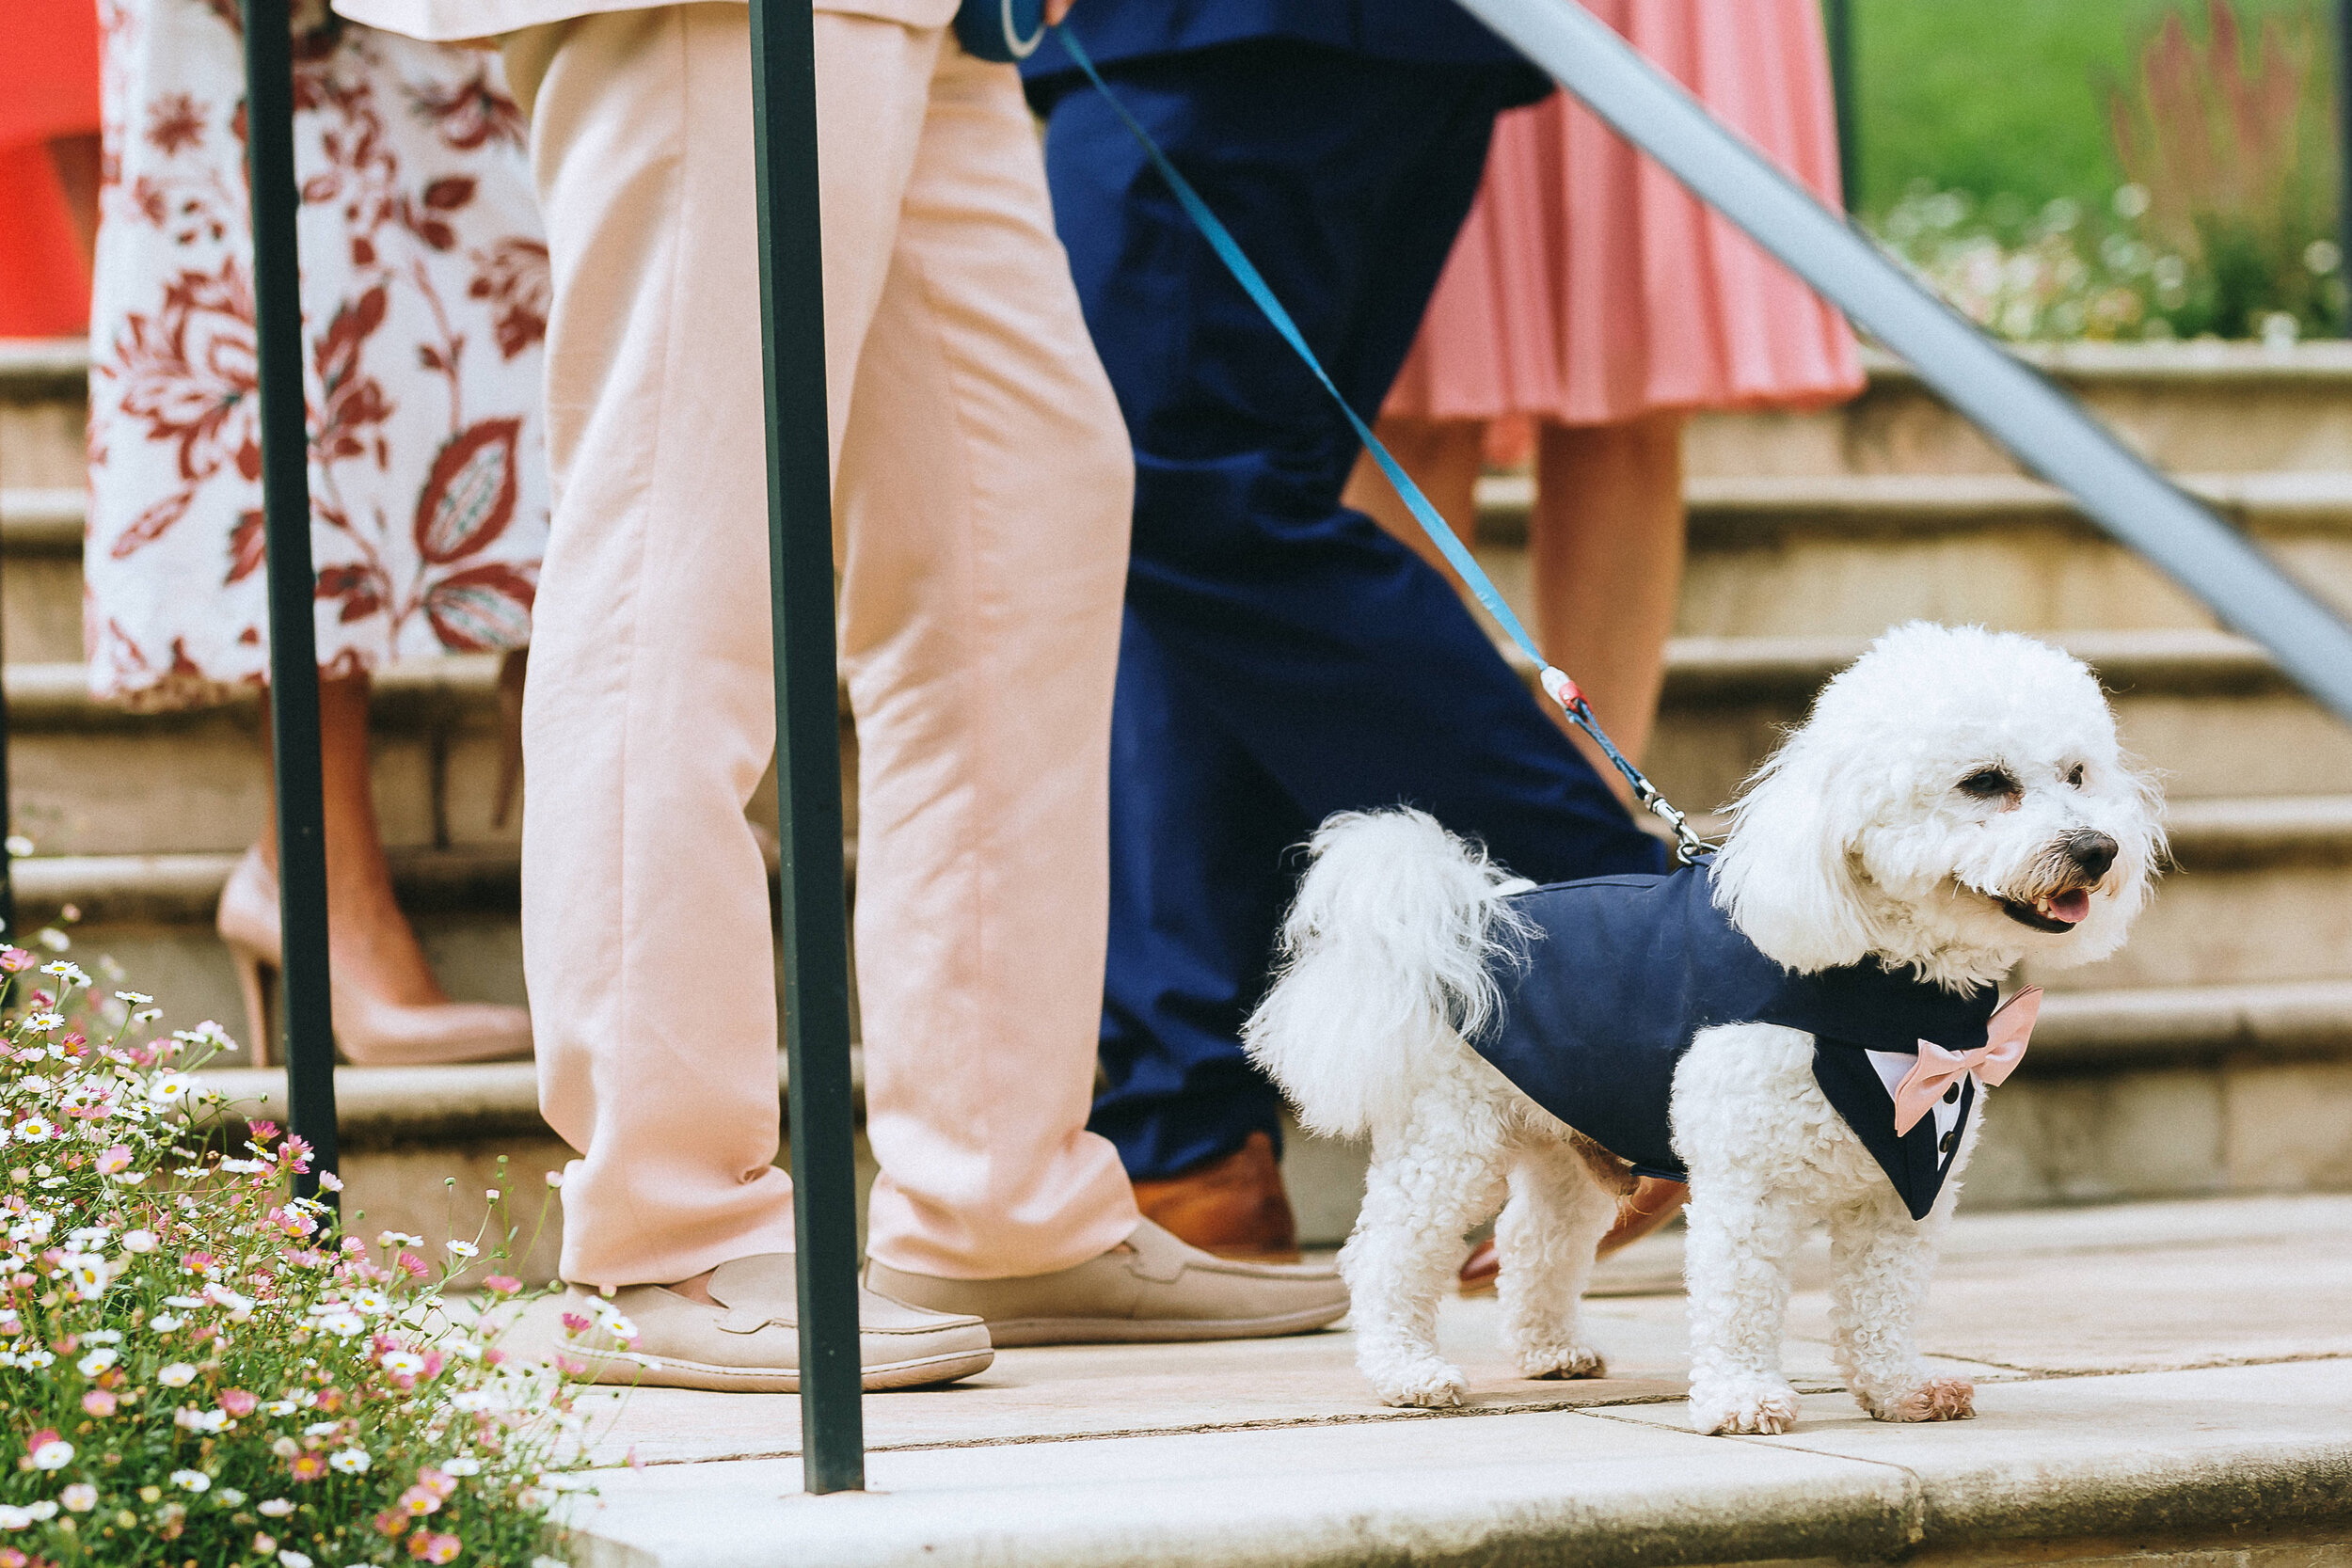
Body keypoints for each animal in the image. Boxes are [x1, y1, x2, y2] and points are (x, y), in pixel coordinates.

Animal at [1261, 620, 2154, 1438]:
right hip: (1449, 1136)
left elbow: (1884, 1297)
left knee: (1534, 1237)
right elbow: (1739, 1291)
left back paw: (1550, 1348)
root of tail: (1466, 915)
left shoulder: (1904, 1187)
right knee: (1389, 1249)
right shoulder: (1747, 1178)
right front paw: (1742, 1398)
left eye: (2078, 773)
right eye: (1984, 780)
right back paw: (1407, 1371)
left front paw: (1899, 1388)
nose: (2098, 848)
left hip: (1566, 1137)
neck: (1889, 988)